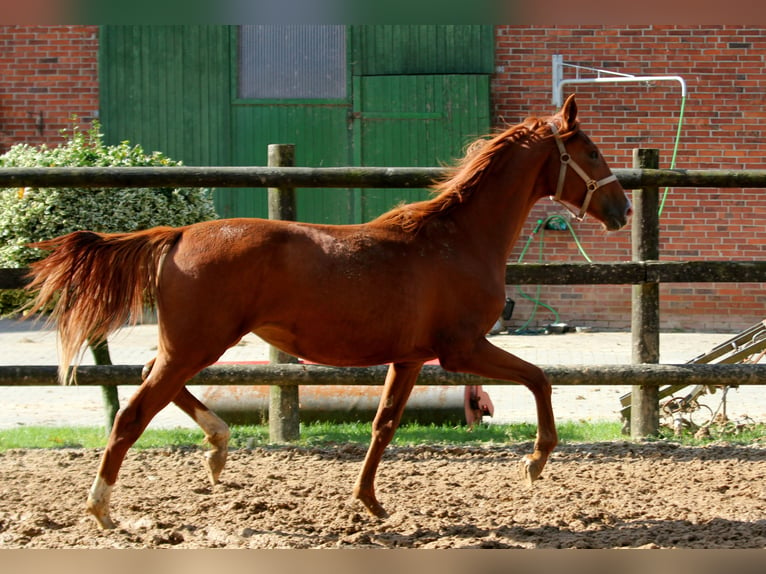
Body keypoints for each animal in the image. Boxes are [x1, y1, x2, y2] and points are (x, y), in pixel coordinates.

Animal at [27, 95, 632, 532]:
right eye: (592, 152)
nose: (623, 209)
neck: (457, 239)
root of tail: (176, 235)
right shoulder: (461, 350)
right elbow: (540, 378)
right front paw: (536, 461)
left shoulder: (410, 359)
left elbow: (383, 425)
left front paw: (370, 503)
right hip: (197, 344)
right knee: (132, 415)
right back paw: (103, 510)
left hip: (190, 344)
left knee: (150, 378)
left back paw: (218, 447)